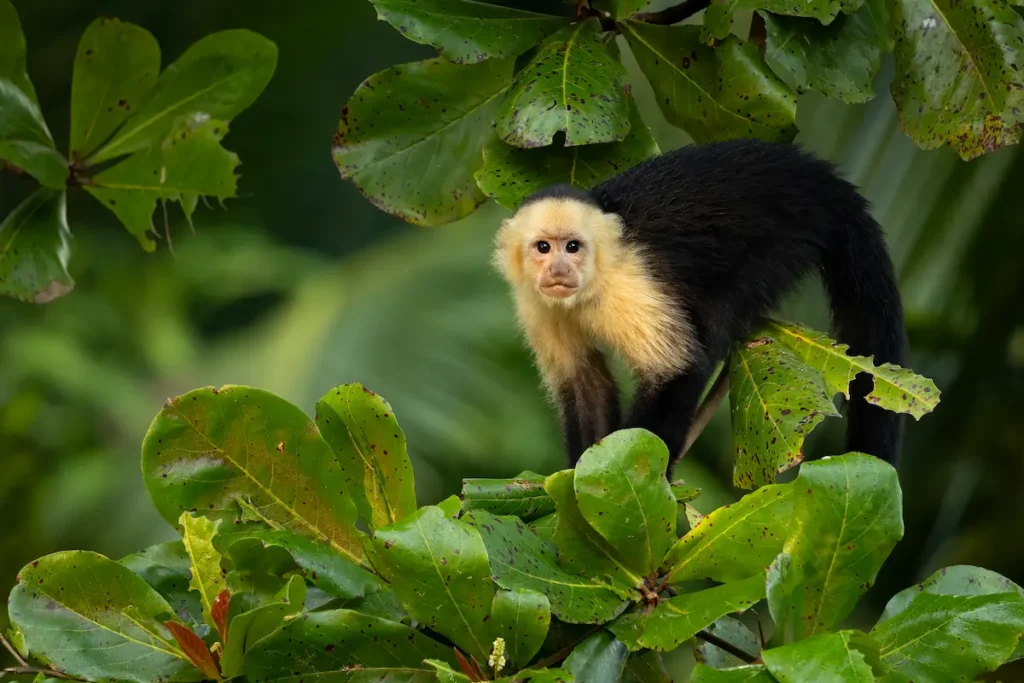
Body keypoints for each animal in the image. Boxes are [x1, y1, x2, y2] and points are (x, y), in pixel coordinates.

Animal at [492, 139, 907, 475]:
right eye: (544, 247)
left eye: (573, 247)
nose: (559, 269)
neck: (591, 287)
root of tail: (816, 177)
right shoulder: (536, 304)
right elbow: (584, 384)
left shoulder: (629, 283)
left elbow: (678, 368)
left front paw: (642, 469)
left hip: (784, 236)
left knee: (715, 319)